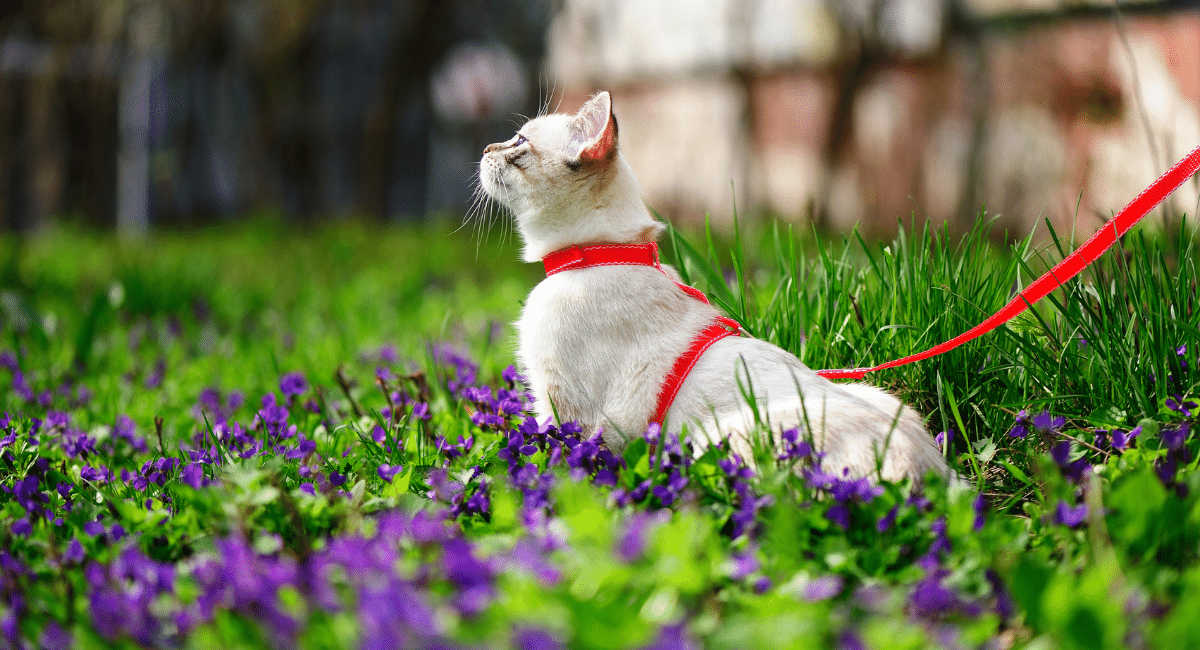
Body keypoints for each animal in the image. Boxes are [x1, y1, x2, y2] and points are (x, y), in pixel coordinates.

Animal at [477, 91, 945, 484]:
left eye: (518, 141)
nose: (485, 149)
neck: (601, 252)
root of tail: (941, 481)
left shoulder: (561, 407)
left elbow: (553, 454)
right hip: (880, 394)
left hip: (720, 437)